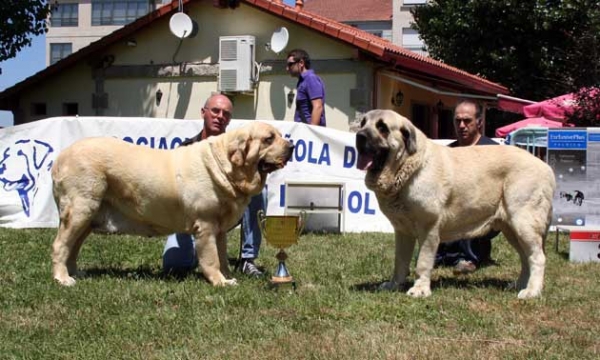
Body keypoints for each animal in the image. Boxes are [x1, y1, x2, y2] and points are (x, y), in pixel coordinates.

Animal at [51, 122, 292, 288]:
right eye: (269, 138)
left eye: (281, 135)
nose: (291, 145)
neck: (226, 167)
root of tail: (60, 158)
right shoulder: (206, 226)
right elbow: (212, 259)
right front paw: (220, 282)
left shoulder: (220, 229)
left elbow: (222, 257)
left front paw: (228, 277)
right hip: (81, 209)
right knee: (61, 244)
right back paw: (63, 278)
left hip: (89, 216)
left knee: (73, 246)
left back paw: (75, 273)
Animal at [354, 109, 556, 298]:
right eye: (363, 123)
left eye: (382, 127)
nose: (359, 136)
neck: (406, 166)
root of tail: (546, 167)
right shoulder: (403, 231)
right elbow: (400, 262)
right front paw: (394, 285)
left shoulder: (428, 228)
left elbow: (423, 262)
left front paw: (420, 289)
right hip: (511, 229)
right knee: (525, 257)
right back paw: (520, 285)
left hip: (523, 222)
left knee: (537, 257)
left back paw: (532, 291)